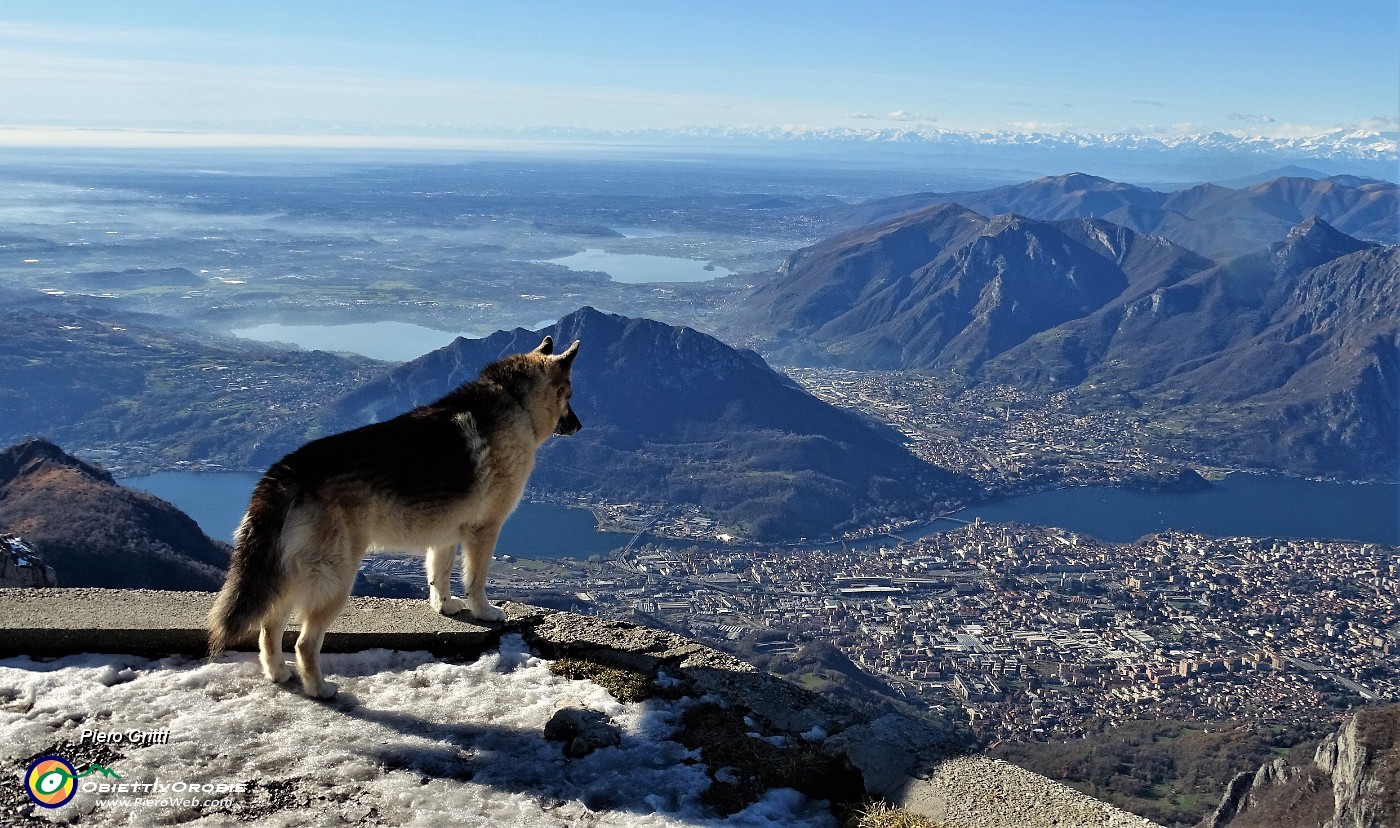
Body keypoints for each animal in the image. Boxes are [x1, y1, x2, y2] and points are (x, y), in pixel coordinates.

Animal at [207, 333, 579, 697]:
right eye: (570, 395)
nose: (578, 425)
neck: (515, 401)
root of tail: (285, 472)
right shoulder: (484, 531)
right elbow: (476, 580)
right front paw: (484, 612)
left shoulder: (445, 535)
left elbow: (440, 575)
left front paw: (444, 606)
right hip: (335, 579)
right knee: (303, 642)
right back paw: (320, 689)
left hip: (291, 574)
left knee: (268, 625)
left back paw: (279, 673)